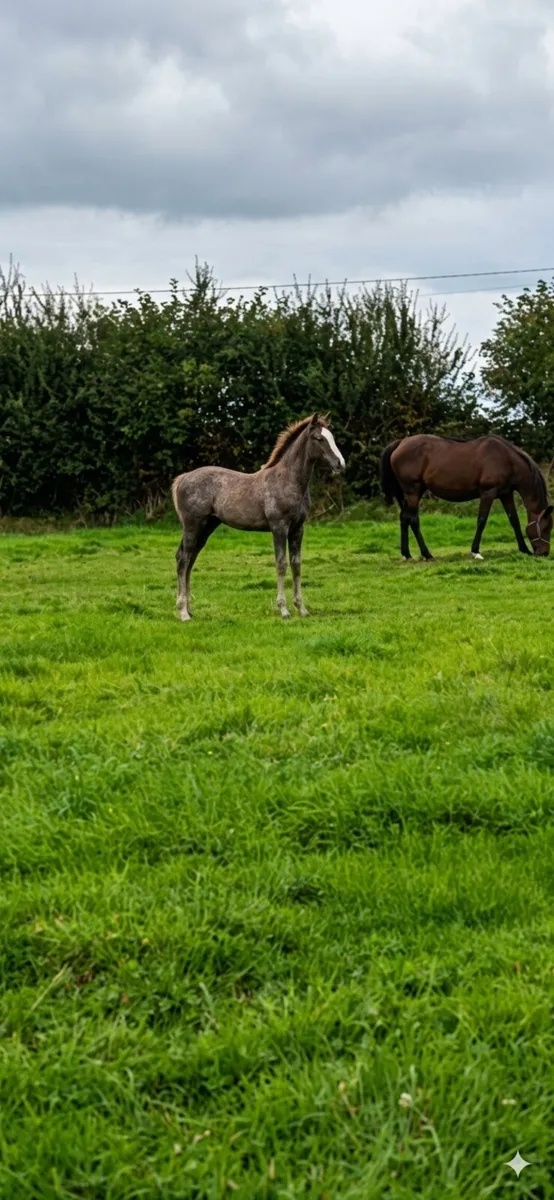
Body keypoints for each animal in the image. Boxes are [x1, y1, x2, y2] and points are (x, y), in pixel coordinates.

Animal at [171, 413, 346, 620]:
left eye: (332, 437)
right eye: (319, 438)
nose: (340, 464)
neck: (287, 480)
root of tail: (183, 478)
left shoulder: (298, 529)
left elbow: (296, 564)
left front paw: (301, 608)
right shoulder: (279, 527)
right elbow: (281, 564)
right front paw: (284, 610)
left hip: (207, 527)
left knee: (189, 559)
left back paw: (189, 609)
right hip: (192, 525)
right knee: (183, 559)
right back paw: (183, 612)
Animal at [380, 433, 552, 561]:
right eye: (546, 527)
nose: (544, 553)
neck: (507, 460)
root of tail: (400, 443)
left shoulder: (506, 494)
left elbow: (514, 521)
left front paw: (524, 549)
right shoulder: (488, 493)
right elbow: (482, 521)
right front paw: (476, 552)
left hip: (414, 493)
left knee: (404, 518)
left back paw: (407, 554)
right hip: (413, 491)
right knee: (413, 520)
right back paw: (427, 554)